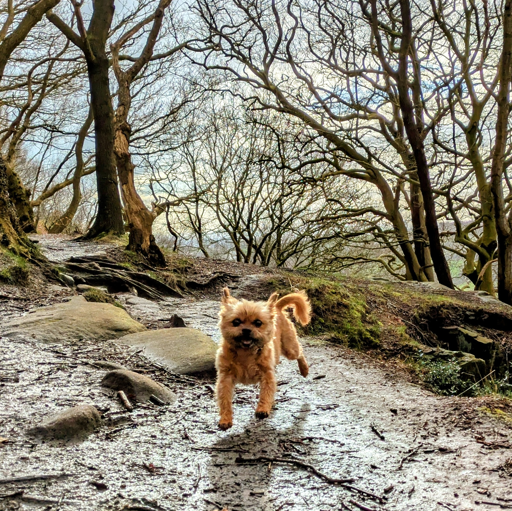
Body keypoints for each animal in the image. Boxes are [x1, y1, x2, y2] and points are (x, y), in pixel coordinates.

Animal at [215, 287, 311, 430]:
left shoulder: (266, 375)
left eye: (258, 323)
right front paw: (225, 419)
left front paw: (263, 408)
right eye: (236, 322)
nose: (246, 330)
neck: (245, 353)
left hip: (290, 349)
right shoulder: (225, 378)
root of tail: (276, 307)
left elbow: (266, 393)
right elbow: (225, 400)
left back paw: (304, 369)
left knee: (300, 353)